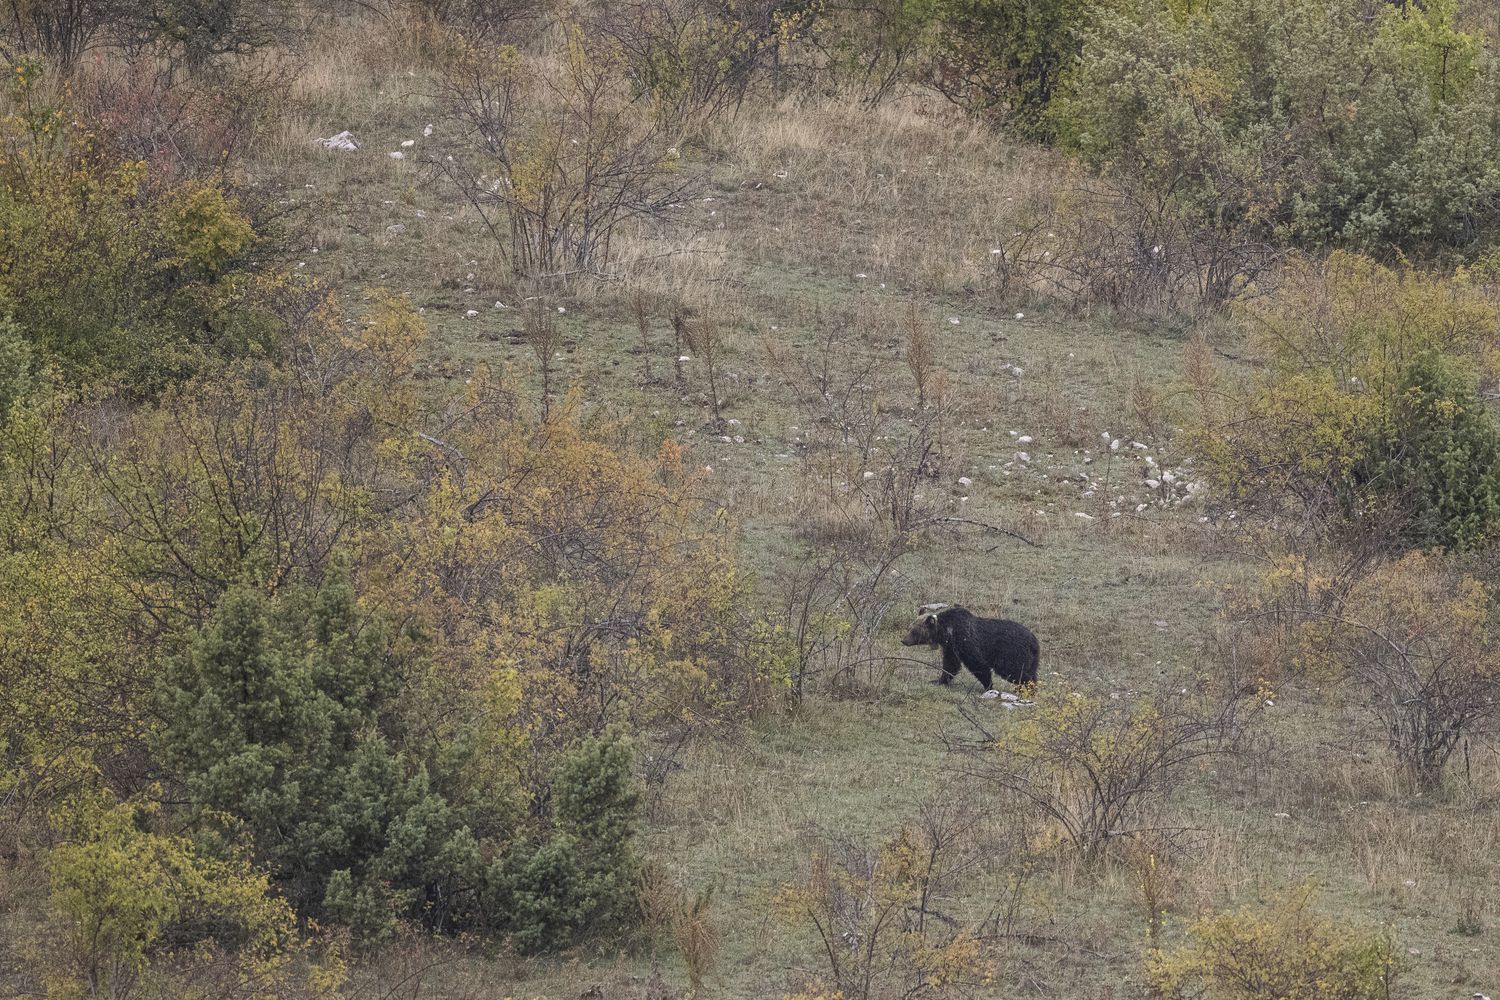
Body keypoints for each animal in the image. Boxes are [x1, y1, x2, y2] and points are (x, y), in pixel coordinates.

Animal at [901, 604, 1039, 691]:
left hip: (1011, 653)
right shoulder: (951, 647)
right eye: (910, 627)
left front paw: (988, 685)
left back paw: (1029, 688)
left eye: (914, 631)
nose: (904, 640)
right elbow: (951, 664)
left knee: (1013, 671)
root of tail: (1034, 640)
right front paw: (939, 680)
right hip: (1032, 659)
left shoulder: (965, 641)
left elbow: (977, 664)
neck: (947, 632)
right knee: (1032, 672)